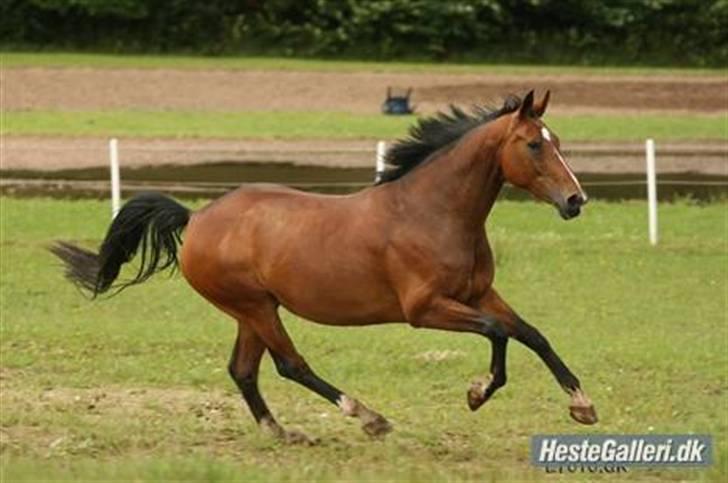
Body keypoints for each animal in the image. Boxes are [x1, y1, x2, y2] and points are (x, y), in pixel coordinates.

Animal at [51, 91, 596, 446]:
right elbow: (498, 334)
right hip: (255, 307)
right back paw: (368, 417)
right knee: (290, 365)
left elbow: (532, 334)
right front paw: (478, 393)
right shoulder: (425, 309)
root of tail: (197, 216)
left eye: (559, 140)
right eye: (534, 144)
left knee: (243, 370)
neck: (431, 211)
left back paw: (281, 432)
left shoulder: (480, 294)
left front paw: (582, 404)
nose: (576, 201)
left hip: (252, 311)